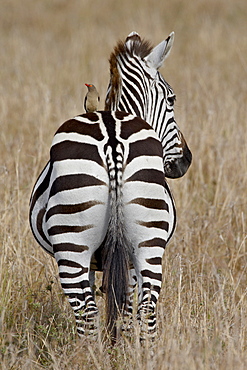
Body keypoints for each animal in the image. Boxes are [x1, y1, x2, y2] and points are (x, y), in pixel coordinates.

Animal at [29, 32, 191, 342]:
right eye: (172, 98)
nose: (185, 161)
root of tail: (113, 140)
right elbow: (124, 308)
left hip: (73, 244)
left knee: (88, 312)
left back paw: (90, 352)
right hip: (146, 240)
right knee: (145, 309)